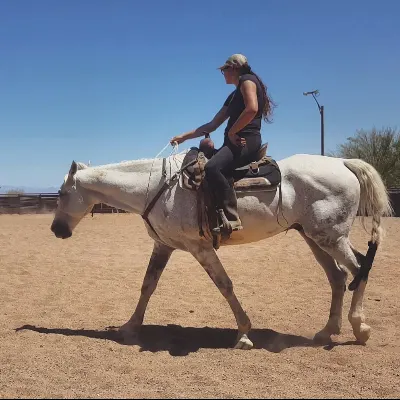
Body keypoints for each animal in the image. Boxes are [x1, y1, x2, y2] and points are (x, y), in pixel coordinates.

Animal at [50, 153, 390, 350]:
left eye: (62, 193)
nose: (56, 230)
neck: (157, 188)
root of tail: (342, 163)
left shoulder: (200, 248)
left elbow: (225, 285)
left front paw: (244, 334)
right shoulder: (164, 245)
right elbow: (148, 285)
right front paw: (130, 328)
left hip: (331, 237)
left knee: (359, 269)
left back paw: (360, 328)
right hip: (314, 237)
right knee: (339, 277)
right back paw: (326, 331)